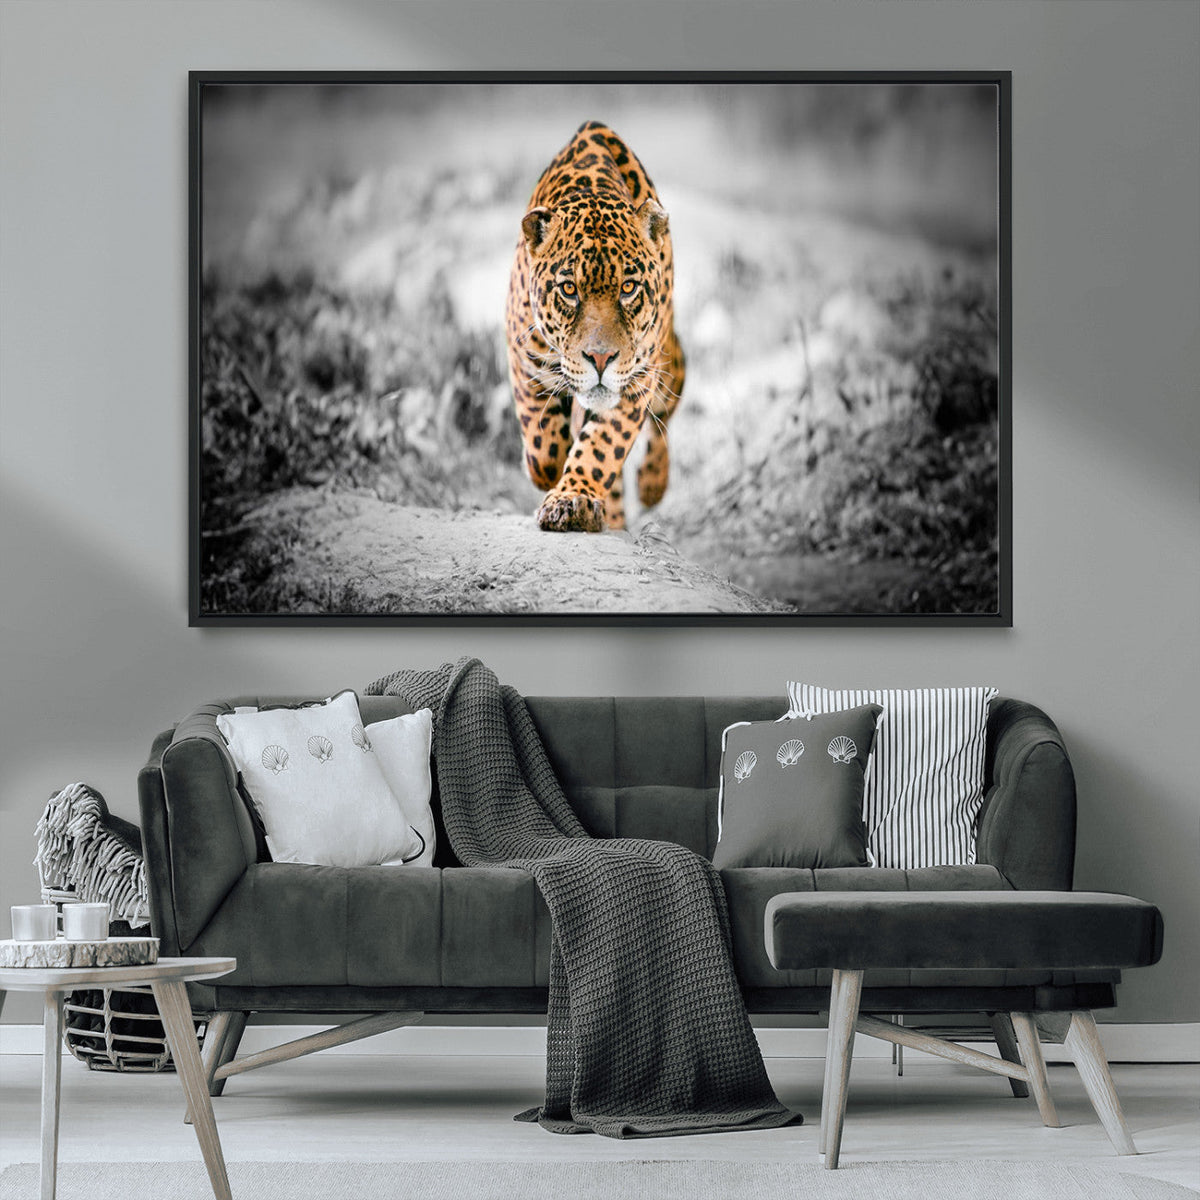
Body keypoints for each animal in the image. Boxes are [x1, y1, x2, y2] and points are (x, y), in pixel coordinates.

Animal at [505, 121, 685, 533]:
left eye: (629, 288)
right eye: (569, 289)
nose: (601, 359)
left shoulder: (637, 379)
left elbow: (602, 446)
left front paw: (572, 499)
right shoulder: (524, 357)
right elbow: (543, 445)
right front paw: (549, 471)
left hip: (669, 363)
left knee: (665, 416)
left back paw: (651, 484)